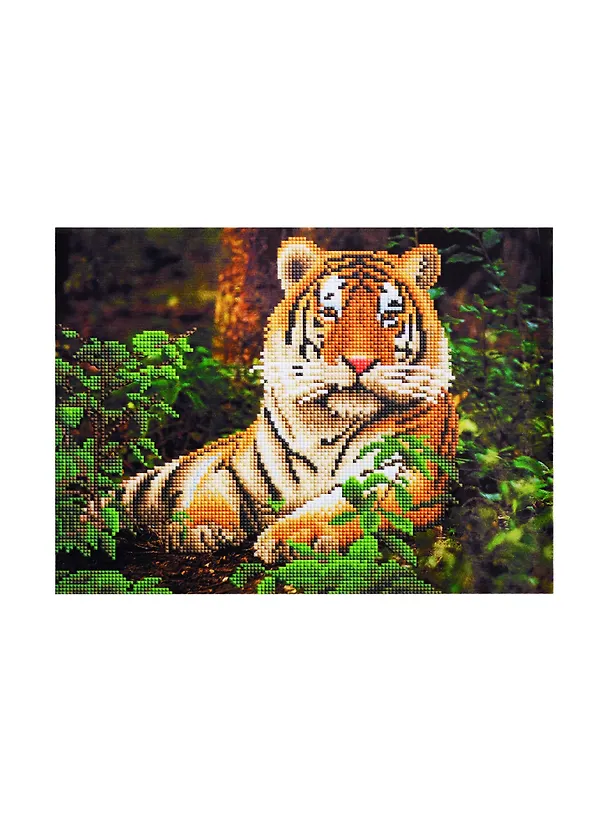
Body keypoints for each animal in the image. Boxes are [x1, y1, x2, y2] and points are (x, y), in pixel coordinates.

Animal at [121, 236, 458, 565]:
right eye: (329, 312)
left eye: (388, 315)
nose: (359, 362)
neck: (327, 424)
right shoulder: (238, 470)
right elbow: (214, 492)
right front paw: (195, 527)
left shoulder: (406, 473)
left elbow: (344, 507)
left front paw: (292, 538)